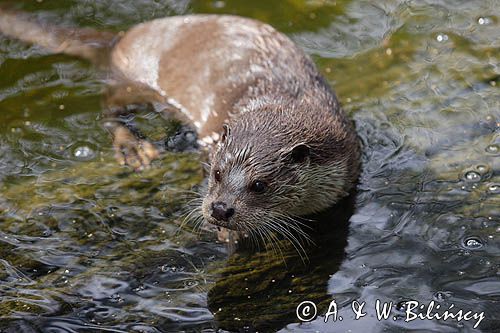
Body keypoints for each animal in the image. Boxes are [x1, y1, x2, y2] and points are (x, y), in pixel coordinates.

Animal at [0, 7, 360, 233]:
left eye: (260, 185)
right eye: (216, 173)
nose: (220, 209)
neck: (282, 98)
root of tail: (122, 38)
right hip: (134, 81)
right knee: (109, 106)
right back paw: (132, 147)